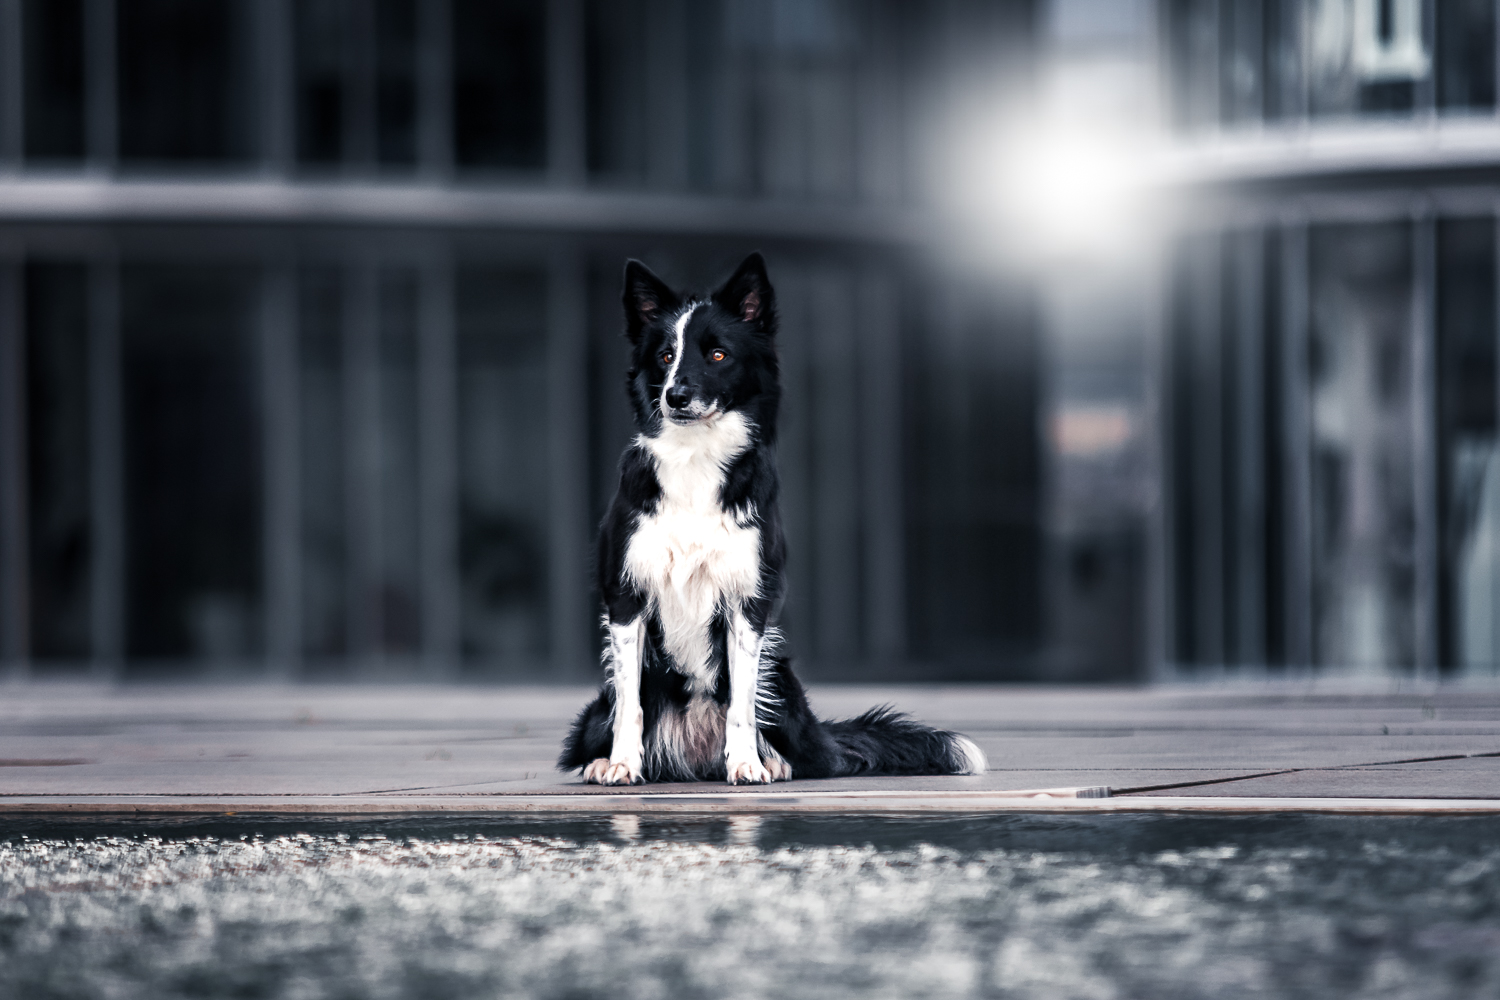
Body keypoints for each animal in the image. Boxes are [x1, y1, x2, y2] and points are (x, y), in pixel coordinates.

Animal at [561, 254, 984, 785]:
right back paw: (603, 760)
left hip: (779, 672)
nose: (675, 396)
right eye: (665, 356)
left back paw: (774, 760)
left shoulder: (748, 600)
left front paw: (746, 764)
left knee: (805, 749)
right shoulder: (625, 597)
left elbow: (742, 703)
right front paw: (621, 762)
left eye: (718, 355)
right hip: (600, 707)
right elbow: (631, 701)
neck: (696, 458)